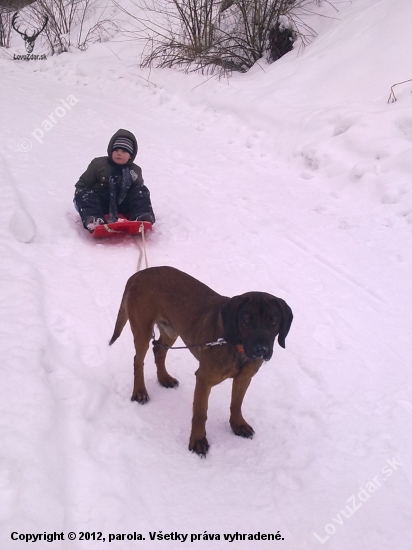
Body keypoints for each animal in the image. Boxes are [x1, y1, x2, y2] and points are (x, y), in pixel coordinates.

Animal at [108, 268, 292, 458]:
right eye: (246, 319)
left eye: (274, 321)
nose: (260, 350)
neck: (236, 346)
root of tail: (139, 274)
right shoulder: (204, 380)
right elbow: (200, 413)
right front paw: (198, 440)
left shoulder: (244, 378)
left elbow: (236, 403)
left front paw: (238, 424)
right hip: (143, 331)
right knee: (138, 360)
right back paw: (139, 391)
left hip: (171, 329)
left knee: (159, 350)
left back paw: (164, 378)